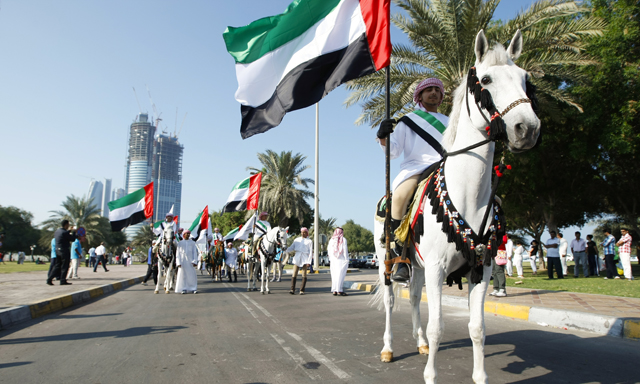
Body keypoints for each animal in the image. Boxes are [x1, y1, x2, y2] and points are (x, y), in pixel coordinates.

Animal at [372, 30, 544, 384]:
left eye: (526, 79)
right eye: (486, 80)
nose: (527, 128)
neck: (468, 196)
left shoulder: (482, 267)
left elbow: (477, 328)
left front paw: (479, 376)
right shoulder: (438, 268)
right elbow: (438, 327)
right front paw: (430, 374)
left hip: (417, 266)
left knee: (413, 297)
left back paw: (419, 344)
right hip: (386, 262)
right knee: (392, 300)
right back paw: (388, 349)